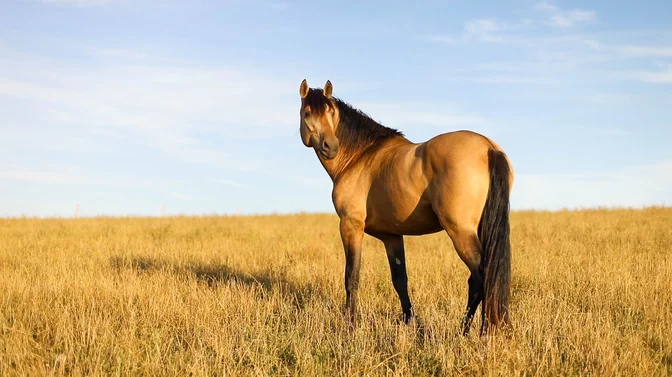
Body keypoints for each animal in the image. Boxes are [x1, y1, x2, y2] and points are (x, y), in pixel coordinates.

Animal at [296, 78, 512, 334]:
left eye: (331, 113)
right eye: (308, 113)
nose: (331, 146)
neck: (360, 156)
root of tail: (488, 147)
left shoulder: (350, 226)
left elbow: (352, 277)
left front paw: (350, 325)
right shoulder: (392, 236)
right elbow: (400, 280)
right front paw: (410, 322)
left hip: (460, 231)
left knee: (479, 277)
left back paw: (467, 331)